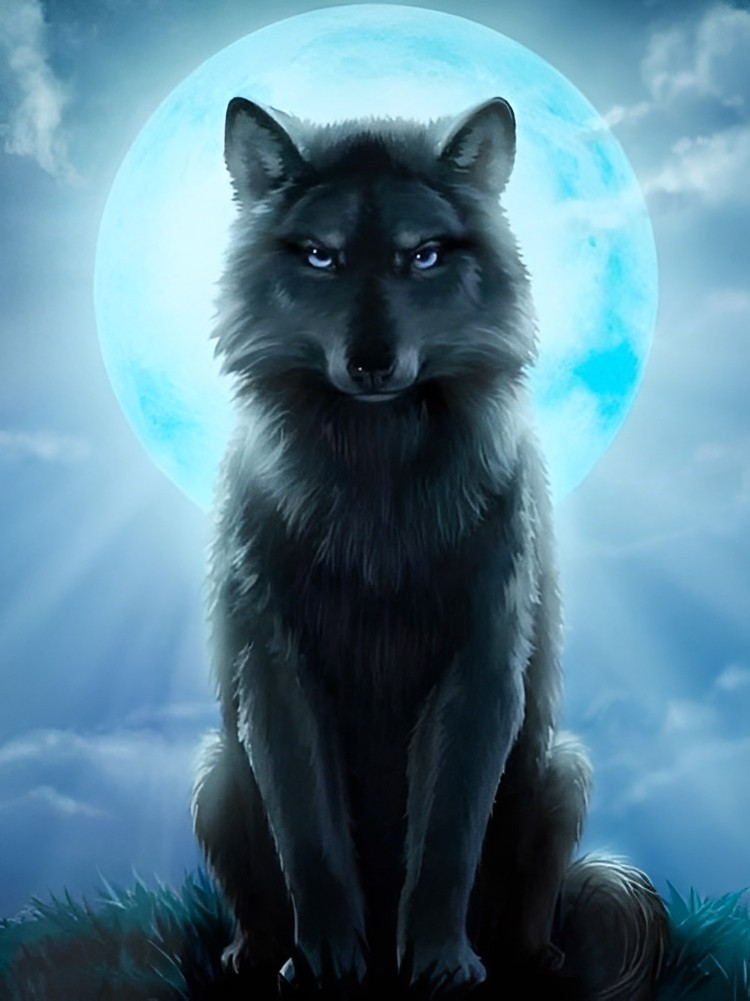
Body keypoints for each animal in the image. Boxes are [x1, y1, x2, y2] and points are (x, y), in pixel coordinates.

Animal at [193, 95, 667, 996]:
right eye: (320, 255)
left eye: (424, 255)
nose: (373, 363)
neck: (375, 480)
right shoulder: (277, 671)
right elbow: (312, 840)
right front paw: (323, 963)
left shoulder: (480, 665)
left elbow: (447, 837)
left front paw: (443, 963)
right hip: (213, 775)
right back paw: (251, 954)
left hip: (563, 771)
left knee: (528, 915)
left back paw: (530, 957)